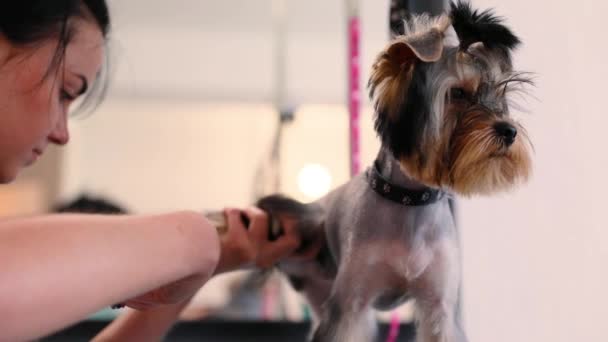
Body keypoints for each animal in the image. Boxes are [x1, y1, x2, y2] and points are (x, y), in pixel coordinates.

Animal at [256, 2, 532, 340]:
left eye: (502, 98)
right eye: (457, 94)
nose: (509, 131)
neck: (409, 200)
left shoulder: (439, 305)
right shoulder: (351, 304)